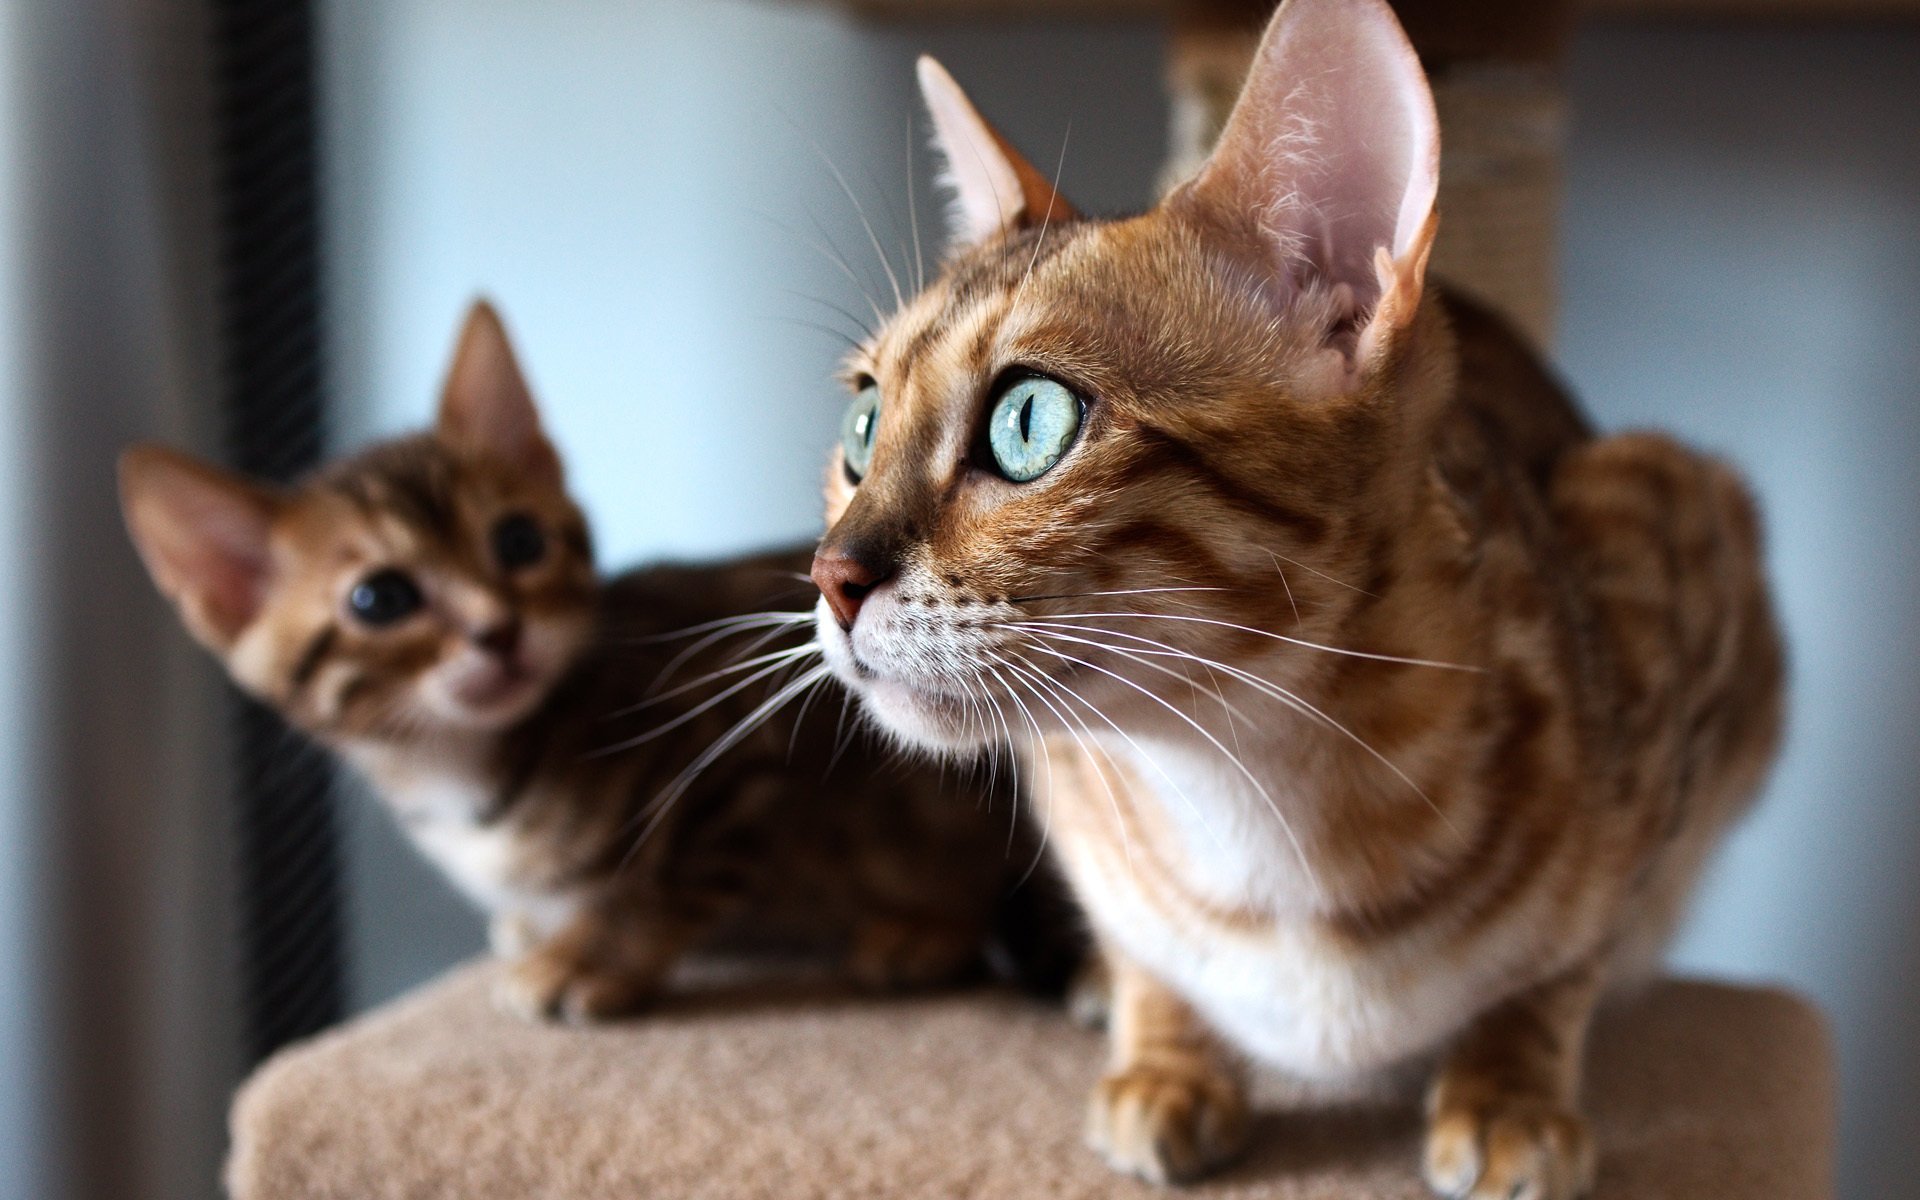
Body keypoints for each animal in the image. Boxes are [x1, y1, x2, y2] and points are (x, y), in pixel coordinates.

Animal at [125, 301, 1075, 1021]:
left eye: (517, 541)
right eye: (378, 601)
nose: (498, 630)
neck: (467, 772)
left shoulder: (750, 752)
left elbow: (662, 878)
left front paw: (586, 955)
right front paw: (540, 928)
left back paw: (920, 934)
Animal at [806, 2, 1781, 1198]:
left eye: (1029, 421)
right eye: (862, 425)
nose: (830, 577)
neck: (1250, 802)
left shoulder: (1656, 535)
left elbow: (1567, 960)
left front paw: (1509, 1087)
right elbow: (1144, 953)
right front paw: (1163, 1054)